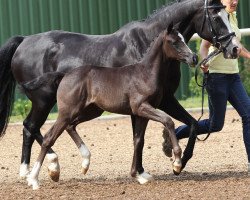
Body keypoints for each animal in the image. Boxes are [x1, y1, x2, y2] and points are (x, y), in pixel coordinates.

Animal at [0, 0, 238, 180]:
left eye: (227, 15)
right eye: (216, 18)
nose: (234, 49)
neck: (145, 43)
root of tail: (23, 41)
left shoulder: (166, 99)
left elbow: (192, 124)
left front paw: (176, 159)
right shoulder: (148, 104)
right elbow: (140, 137)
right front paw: (151, 168)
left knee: (41, 127)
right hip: (44, 100)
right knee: (32, 127)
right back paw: (45, 168)